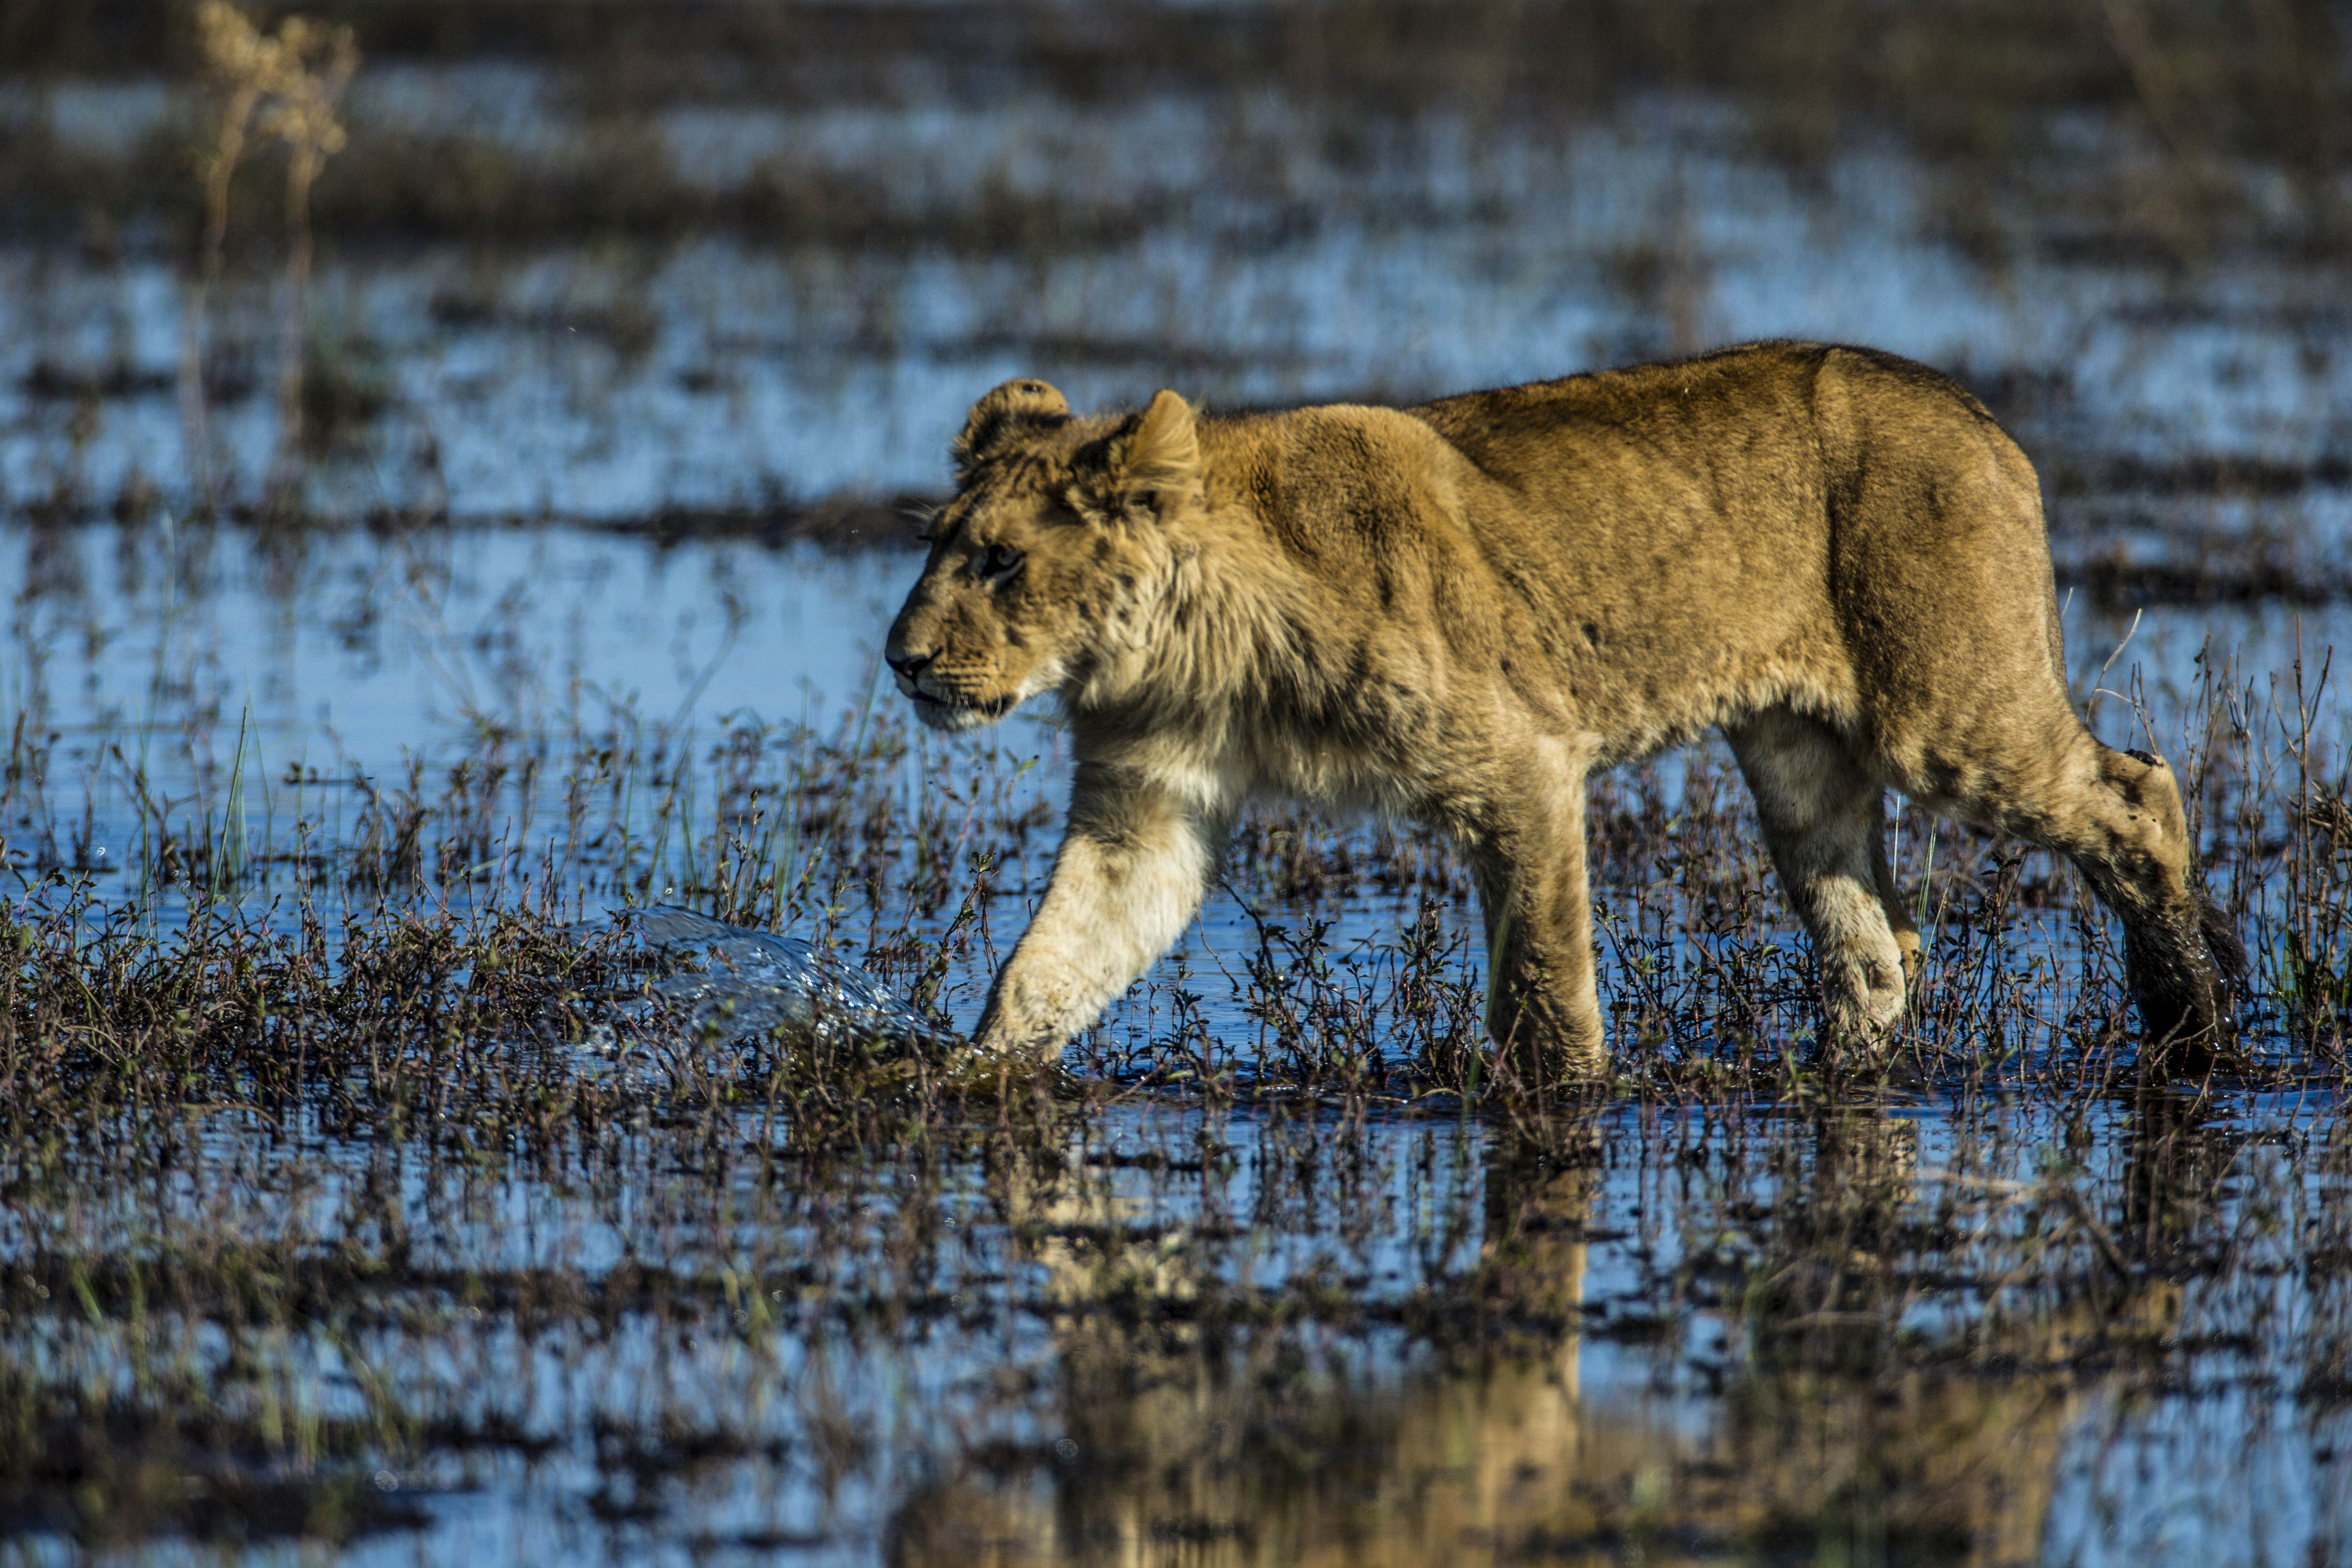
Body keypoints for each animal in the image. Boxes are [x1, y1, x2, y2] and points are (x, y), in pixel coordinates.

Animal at [884, 342, 2238, 1079]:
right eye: (941, 542)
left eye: (1000, 560)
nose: (900, 660)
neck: (1188, 646)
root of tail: (1977, 414)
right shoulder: (1145, 811)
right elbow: (1048, 963)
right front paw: (958, 1083)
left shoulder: (1519, 762)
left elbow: (1541, 982)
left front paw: (1563, 1109)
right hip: (1798, 753)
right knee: (1872, 943)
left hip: (1946, 710)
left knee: (2138, 792)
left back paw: (2193, 1029)